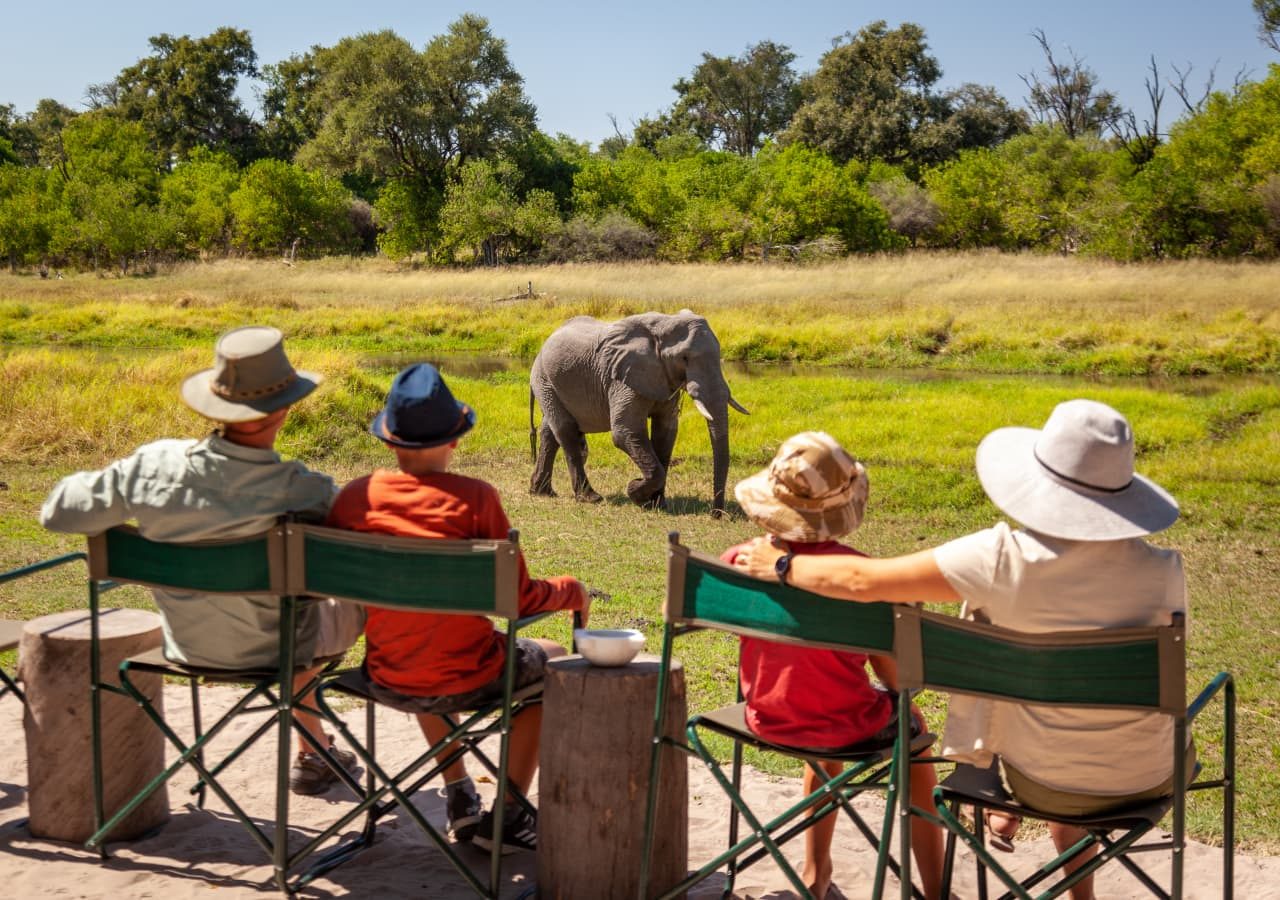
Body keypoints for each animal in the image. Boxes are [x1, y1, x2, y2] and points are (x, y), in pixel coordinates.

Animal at [527, 313, 747, 517]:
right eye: (684, 358)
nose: (717, 514)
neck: (664, 325)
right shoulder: (623, 378)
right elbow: (625, 431)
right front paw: (635, 490)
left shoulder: (664, 379)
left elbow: (665, 433)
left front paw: (657, 505)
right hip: (544, 379)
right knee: (566, 432)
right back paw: (590, 498)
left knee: (550, 432)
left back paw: (542, 492)